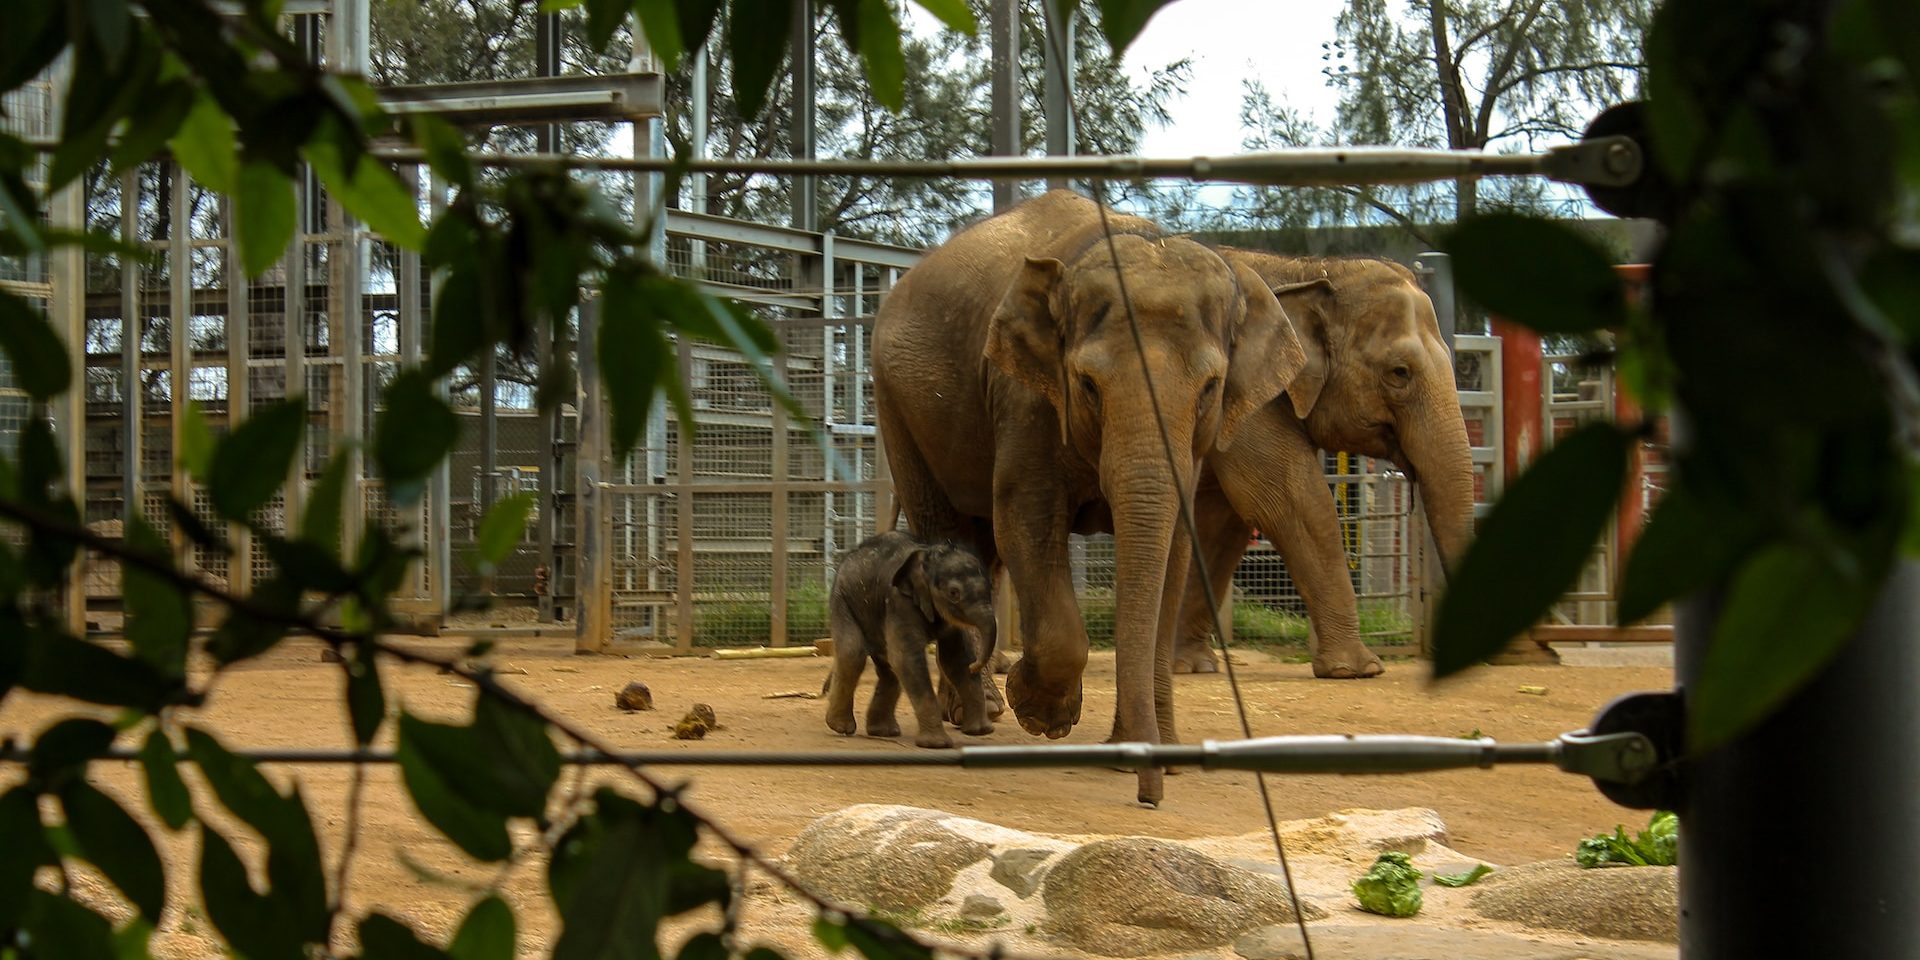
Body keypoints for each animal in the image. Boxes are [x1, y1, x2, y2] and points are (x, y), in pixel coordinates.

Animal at [823, 530, 999, 749]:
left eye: (989, 587)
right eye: (954, 593)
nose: (975, 666)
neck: (927, 556)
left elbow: (955, 659)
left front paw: (979, 731)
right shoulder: (899, 601)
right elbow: (908, 659)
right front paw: (936, 744)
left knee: (888, 667)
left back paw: (883, 732)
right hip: (843, 600)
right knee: (852, 653)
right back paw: (840, 727)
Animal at [873, 190, 1306, 804]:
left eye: (1211, 389)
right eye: (1087, 384)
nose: (1150, 798)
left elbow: (1175, 549)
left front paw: (1150, 754)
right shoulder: (1025, 394)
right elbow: (1024, 517)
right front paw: (1042, 712)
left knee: (980, 546)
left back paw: (985, 707)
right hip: (899, 406)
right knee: (949, 527)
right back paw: (979, 712)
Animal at [1168, 250, 1477, 678]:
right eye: (1400, 372)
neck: (1309, 270)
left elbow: (1221, 522)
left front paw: (1192, 666)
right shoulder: (1251, 394)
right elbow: (1290, 500)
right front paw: (1358, 669)